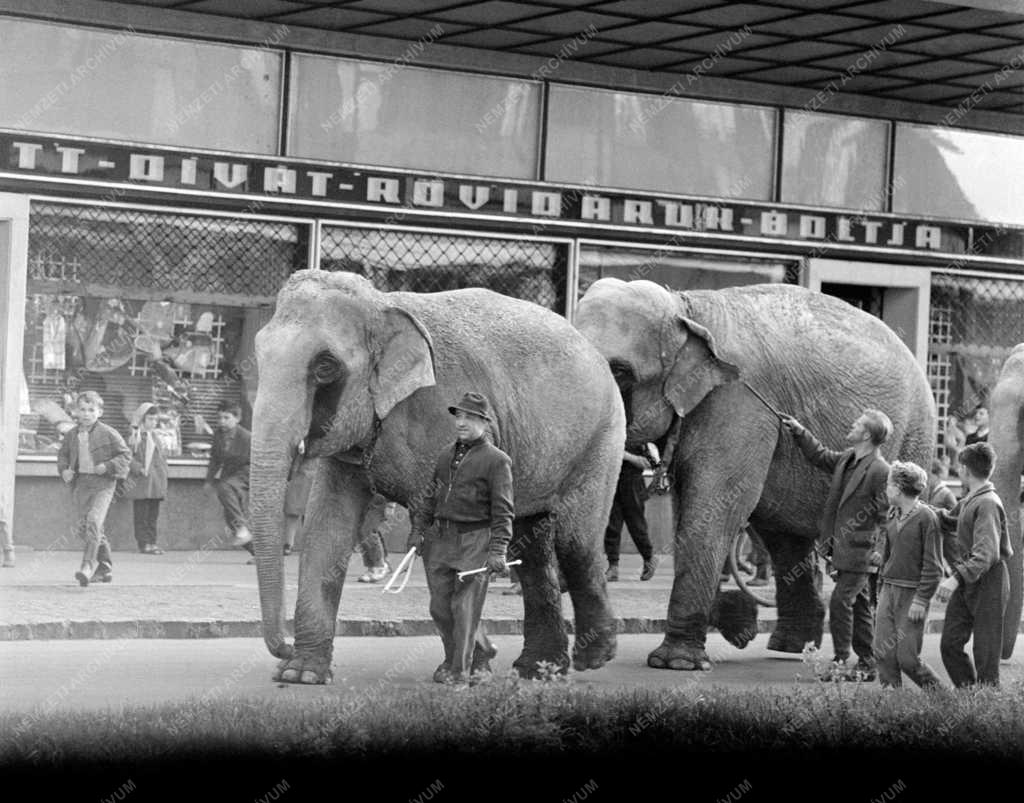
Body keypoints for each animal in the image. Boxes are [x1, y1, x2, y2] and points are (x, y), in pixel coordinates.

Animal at [247, 270, 622, 684]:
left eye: (325, 366)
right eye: (258, 355)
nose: (283, 646)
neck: (382, 303)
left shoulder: (439, 415)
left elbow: (435, 530)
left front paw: (469, 665)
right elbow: (327, 525)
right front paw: (301, 675)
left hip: (600, 439)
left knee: (575, 541)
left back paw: (593, 657)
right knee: (532, 544)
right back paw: (539, 670)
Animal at [577, 278, 937, 667]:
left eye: (620, 372)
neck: (685, 309)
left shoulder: (738, 401)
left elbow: (712, 510)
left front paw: (676, 662)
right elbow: (693, 509)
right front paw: (737, 624)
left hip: (913, 437)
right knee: (783, 536)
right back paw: (789, 646)